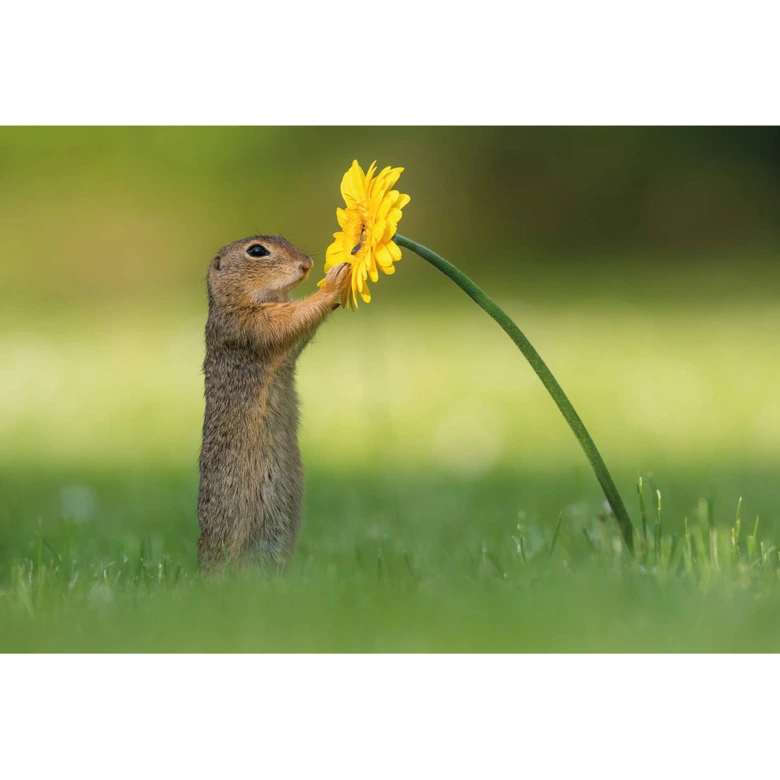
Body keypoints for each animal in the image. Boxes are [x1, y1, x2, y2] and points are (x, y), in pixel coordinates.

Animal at [197, 234, 350, 570]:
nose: (307, 263)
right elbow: (291, 319)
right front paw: (334, 282)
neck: (233, 301)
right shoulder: (250, 324)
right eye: (257, 251)